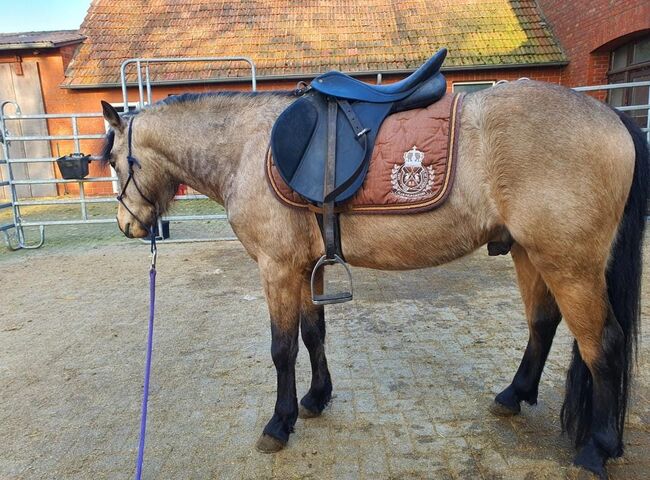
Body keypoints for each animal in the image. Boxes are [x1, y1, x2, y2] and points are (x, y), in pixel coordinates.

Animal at [99, 80, 648, 478]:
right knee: (543, 326)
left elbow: (282, 349)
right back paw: (514, 396)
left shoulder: (277, 268)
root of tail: (612, 116)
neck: (248, 147)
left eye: (113, 161)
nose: (128, 226)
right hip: (531, 255)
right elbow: (313, 334)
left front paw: (279, 422)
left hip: (569, 265)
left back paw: (598, 449)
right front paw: (315, 399)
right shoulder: (305, 268)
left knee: (603, 345)